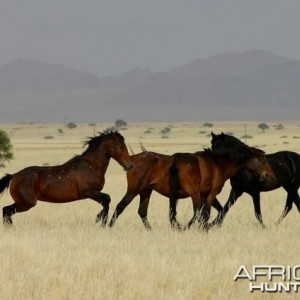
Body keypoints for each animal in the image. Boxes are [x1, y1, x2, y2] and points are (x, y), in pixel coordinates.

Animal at [0, 131, 132, 227]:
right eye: (121, 146)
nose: (129, 166)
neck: (90, 166)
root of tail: (14, 175)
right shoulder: (87, 192)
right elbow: (107, 199)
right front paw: (100, 220)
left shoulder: (92, 193)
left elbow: (106, 201)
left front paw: (100, 219)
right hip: (26, 203)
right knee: (6, 211)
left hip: (24, 203)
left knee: (6, 211)